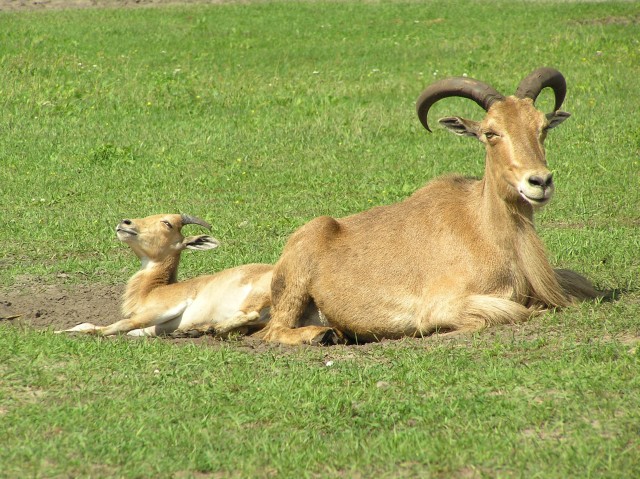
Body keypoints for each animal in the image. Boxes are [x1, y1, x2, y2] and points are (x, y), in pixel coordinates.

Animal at [258, 66, 604, 344]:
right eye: (490, 132)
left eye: (541, 127)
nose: (540, 182)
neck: (490, 230)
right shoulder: (445, 303)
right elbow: (514, 311)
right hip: (295, 281)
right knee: (274, 331)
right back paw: (321, 335)